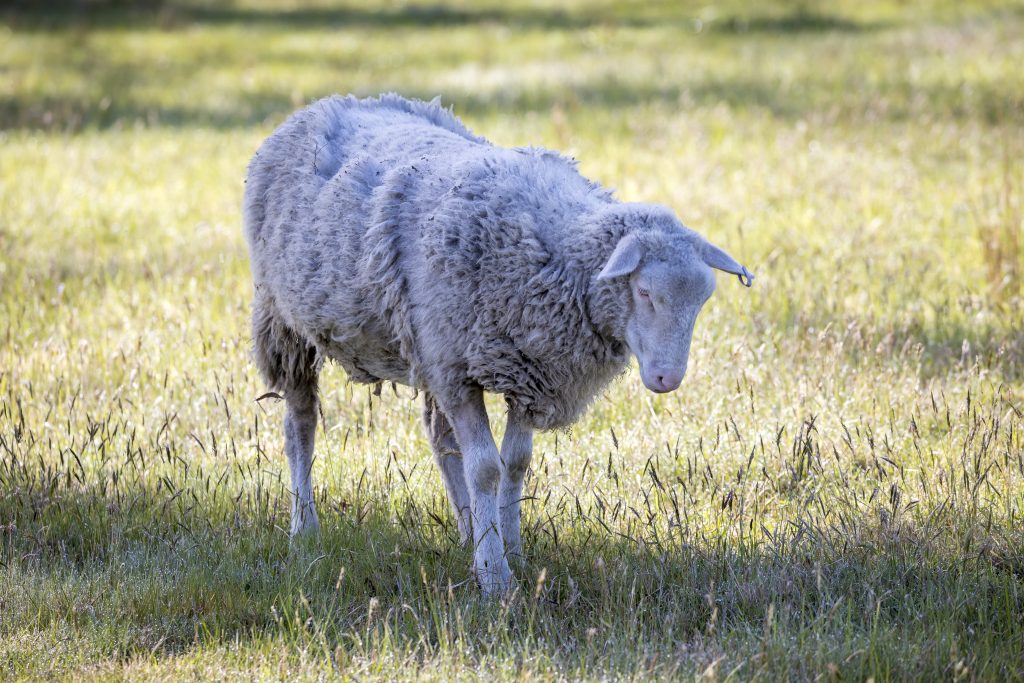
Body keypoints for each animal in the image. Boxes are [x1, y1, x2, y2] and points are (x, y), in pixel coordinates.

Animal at [239, 93, 753, 593]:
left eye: (703, 299)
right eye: (645, 292)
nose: (668, 378)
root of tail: (329, 102)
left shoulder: (530, 372)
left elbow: (515, 465)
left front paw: (513, 550)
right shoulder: (458, 372)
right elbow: (485, 468)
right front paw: (494, 575)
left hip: (427, 347)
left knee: (441, 439)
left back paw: (467, 529)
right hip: (285, 322)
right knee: (300, 428)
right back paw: (304, 528)